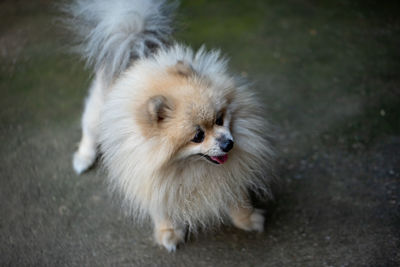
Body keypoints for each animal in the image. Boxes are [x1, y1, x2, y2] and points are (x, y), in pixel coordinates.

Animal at [63, 0, 276, 252]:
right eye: (197, 136)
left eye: (219, 119)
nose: (228, 144)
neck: (187, 168)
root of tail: (135, 46)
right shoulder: (149, 176)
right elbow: (160, 206)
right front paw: (168, 232)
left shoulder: (231, 175)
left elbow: (237, 198)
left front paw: (247, 219)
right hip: (97, 115)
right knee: (89, 131)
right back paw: (83, 158)